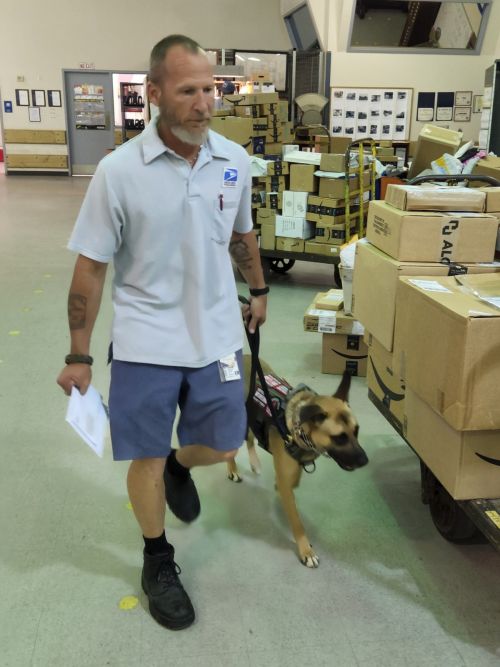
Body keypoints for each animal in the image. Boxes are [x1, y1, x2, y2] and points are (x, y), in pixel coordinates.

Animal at [227, 355, 368, 568]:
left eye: (356, 431)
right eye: (339, 438)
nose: (365, 461)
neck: (298, 430)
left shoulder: (292, 473)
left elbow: (291, 481)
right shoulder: (287, 482)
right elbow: (296, 521)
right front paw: (305, 550)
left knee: (250, 438)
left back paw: (255, 463)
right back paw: (233, 470)